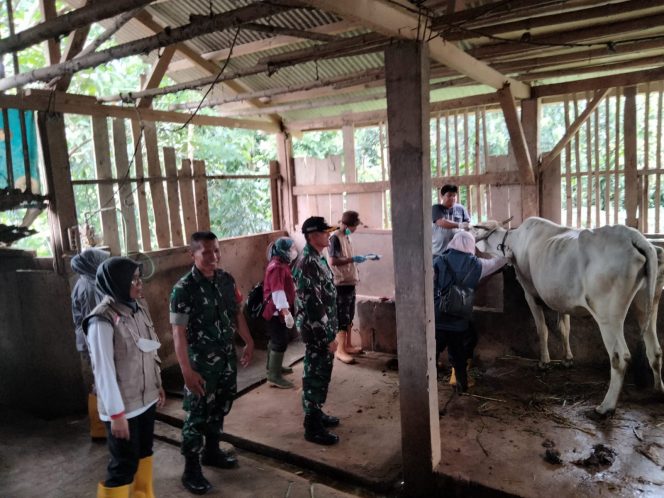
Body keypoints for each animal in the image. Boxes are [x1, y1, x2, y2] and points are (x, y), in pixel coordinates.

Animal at [472, 216, 664, 414]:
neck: (515, 240)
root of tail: (635, 237)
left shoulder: (530, 294)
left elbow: (542, 329)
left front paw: (544, 362)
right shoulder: (561, 299)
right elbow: (564, 329)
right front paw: (568, 359)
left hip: (608, 314)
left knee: (620, 357)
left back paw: (606, 407)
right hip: (648, 301)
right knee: (655, 349)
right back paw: (658, 391)